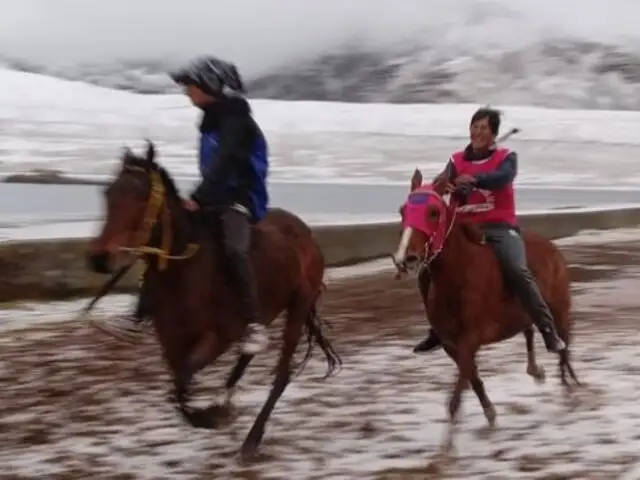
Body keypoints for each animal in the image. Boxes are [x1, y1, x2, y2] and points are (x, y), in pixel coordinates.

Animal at [87, 141, 342, 460]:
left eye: (141, 195)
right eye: (108, 193)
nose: (99, 258)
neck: (186, 268)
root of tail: (305, 233)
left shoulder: (217, 337)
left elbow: (182, 385)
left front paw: (212, 418)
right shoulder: (172, 342)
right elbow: (179, 389)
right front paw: (214, 412)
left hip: (297, 306)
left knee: (281, 375)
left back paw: (251, 439)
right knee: (246, 356)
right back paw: (226, 398)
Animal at [390, 168, 580, 450]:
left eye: (433, 212)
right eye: (403, 210)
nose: (406, 258)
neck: (458, 275)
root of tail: (552, 247)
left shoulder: (471, 337)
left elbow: (461, 384)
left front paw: (448, 443)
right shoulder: (450, 343)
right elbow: (472, 377)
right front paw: (490, 414)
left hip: (559, 307)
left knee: (563, 344)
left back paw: (568, 381)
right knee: (529, 331)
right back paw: (536, 371)